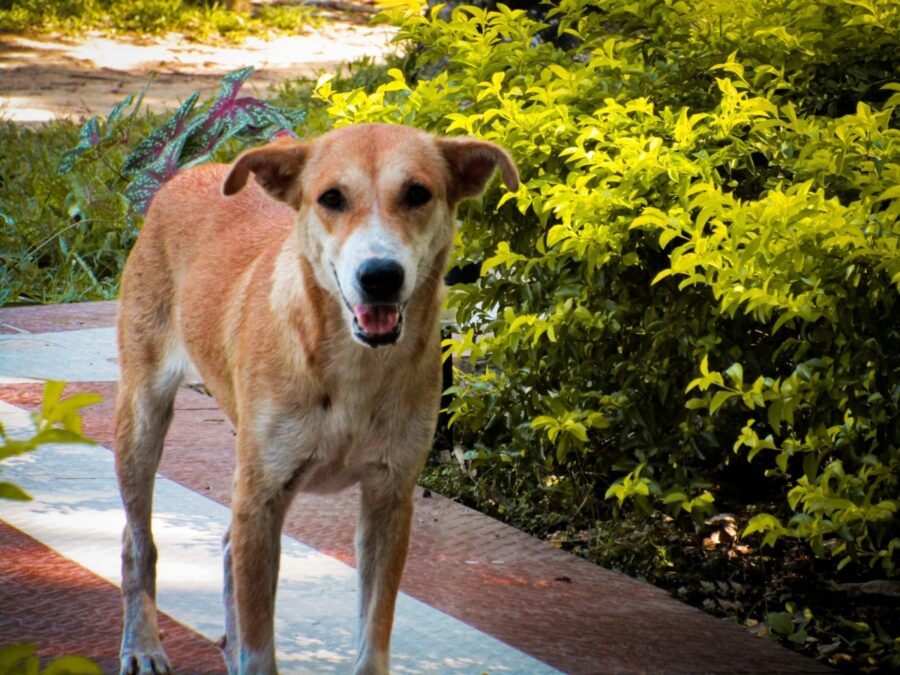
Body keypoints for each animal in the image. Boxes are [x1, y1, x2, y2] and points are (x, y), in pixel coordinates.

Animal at [113, 123, 520, 675]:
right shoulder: (262, 496)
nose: (380, 275)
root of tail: (189, 175)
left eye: (417, 193)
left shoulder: (390, 497)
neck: (354, 365)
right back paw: (143, 644)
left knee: (226, 547)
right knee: (138, 542)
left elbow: (374, 632)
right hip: (143, 413)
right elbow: (260, 646)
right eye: (331, 198)